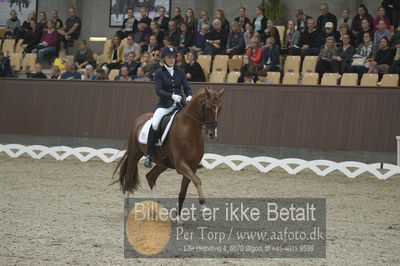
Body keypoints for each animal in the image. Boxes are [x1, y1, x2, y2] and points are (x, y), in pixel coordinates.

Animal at [114, 87, 223, 224]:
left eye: (221, 109)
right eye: (209, 108)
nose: (212, 133)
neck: (188, 130)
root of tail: (139, 119)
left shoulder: (192, 166)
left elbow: (183, 192)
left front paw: (179, 217)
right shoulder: (181, 164)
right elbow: (197, 181)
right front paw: (204, 207)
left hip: (162, 163)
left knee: (150, 177)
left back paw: (158, 208)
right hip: (134, 155)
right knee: (129, 179)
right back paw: (126, 210)